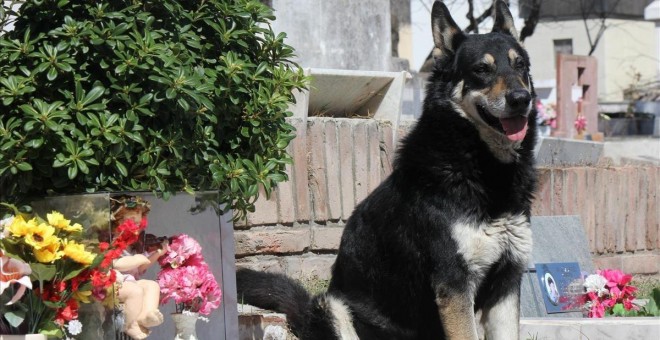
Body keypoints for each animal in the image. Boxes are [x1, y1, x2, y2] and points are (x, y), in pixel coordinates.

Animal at [237, 1, 536, 338]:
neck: (482, 164)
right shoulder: (455, 284)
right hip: (334, 306)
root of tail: (304, 317)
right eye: (481, 70)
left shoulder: (507, 281)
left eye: (520, 65)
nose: (521, 99)